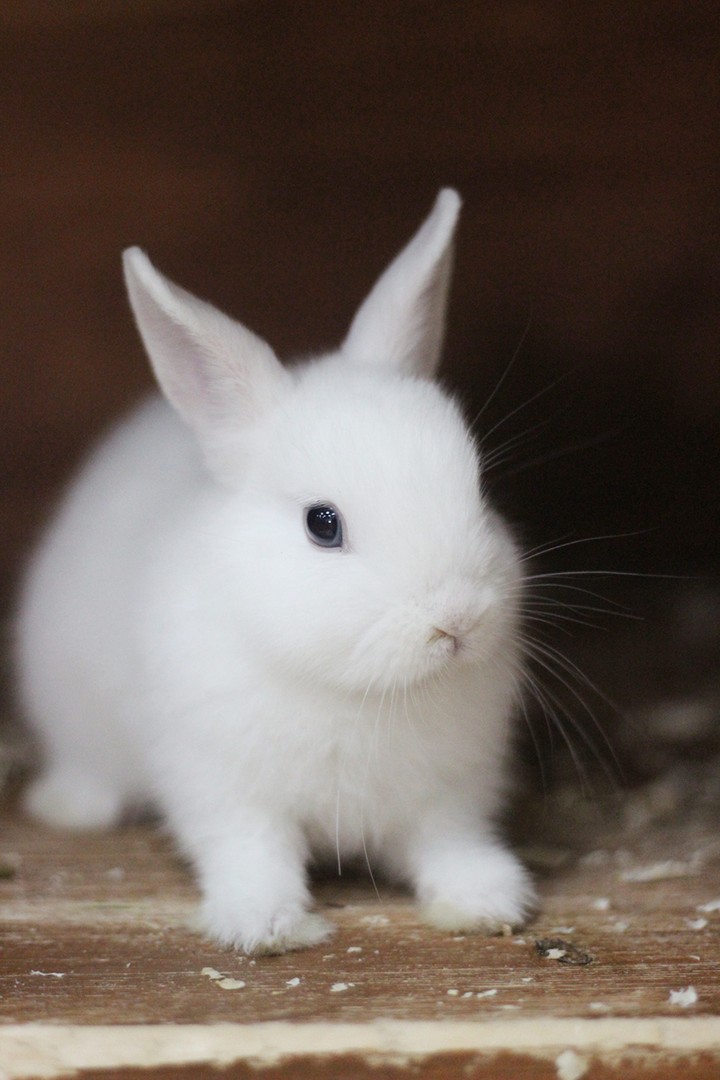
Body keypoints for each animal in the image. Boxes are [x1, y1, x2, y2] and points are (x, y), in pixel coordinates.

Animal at [15, 188, 535, 953]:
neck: (361, 693)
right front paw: (265, 926)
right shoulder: (223, 786)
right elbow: (250, 851)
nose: (457, 620)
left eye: (479, 490)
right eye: (323, 524)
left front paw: (488, 901)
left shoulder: (449, 794)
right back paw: (68, 806)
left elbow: (450, 844)